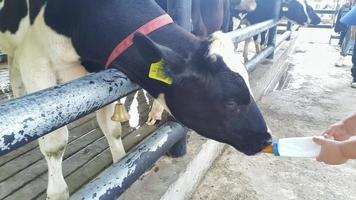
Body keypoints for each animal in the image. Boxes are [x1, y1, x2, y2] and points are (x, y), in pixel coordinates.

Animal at [1, 0, 272, 199]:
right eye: (230, 102)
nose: (266, 138)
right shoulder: (36, 62)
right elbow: (54, 142)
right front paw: (57, 192)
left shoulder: (101, 74)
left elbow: (111, 128)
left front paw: (118, 169)